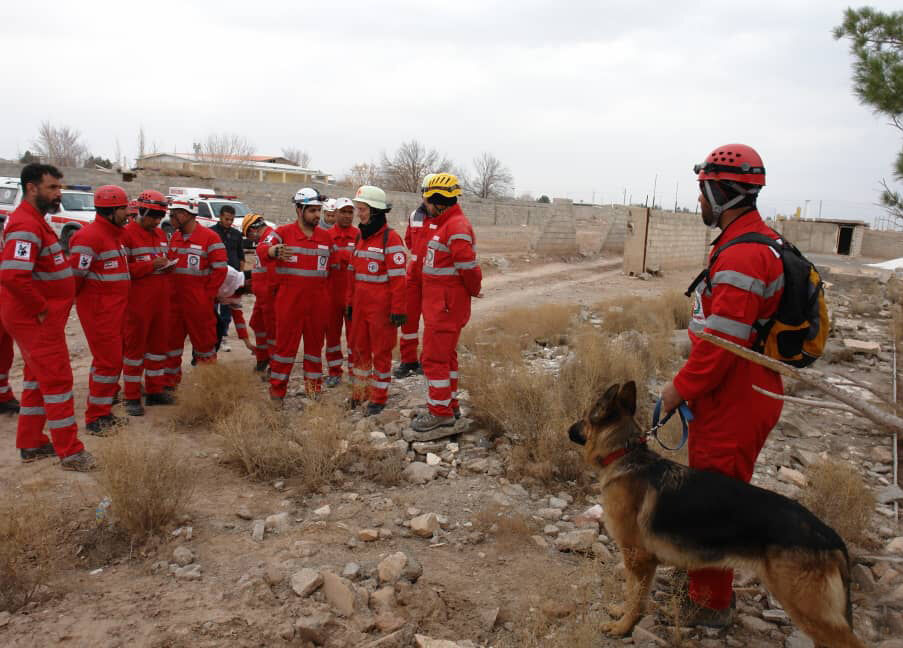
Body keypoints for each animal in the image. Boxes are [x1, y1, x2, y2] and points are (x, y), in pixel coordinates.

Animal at [568, 382, 864, 644]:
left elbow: (635, 596)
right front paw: (621, 615)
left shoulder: (638, 558)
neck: (623, 453)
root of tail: (829, 535)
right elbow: (632, 592)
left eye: (584, 416)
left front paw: (623, 627)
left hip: (805, 606)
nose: (568, 429)